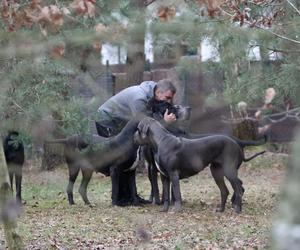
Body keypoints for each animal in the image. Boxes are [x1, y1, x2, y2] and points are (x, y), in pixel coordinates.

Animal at [135, 117, 266, 213]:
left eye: (138, 129)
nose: (133, 136)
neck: (161, 141)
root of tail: (237, 143)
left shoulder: (173, 174)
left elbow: (176, 194)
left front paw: (176, 210)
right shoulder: (164, 176)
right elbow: (166, 194)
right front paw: (164, 209)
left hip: (229, 171)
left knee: (238, 188)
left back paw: (238, 209)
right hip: (216, 172)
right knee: (225, 191)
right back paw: (221, 209)